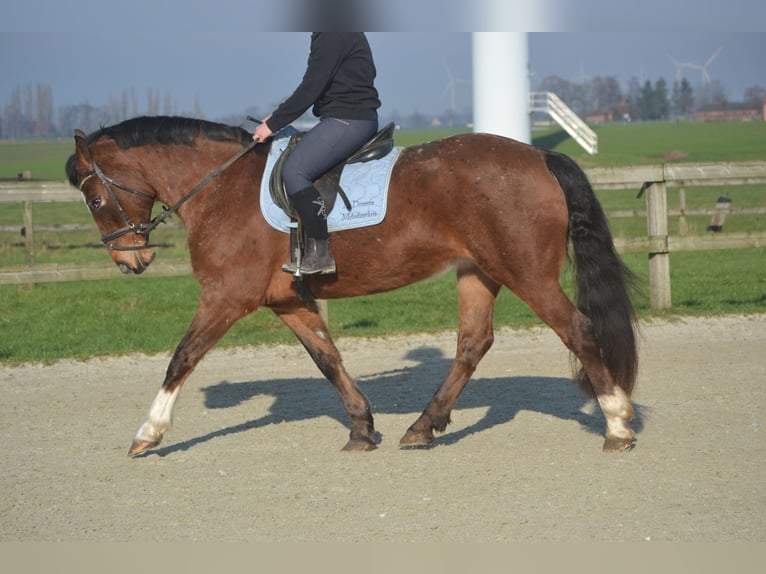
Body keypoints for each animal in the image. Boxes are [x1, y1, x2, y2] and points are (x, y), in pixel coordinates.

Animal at [66, 116, 640, 460]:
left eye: (94, 199)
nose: (131, 261)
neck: (223, 188)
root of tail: (540, 157)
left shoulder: (227, 297)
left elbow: (182, 357)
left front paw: (148, 433)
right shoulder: (287, 301)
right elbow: (328, 359)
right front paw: (362, 429)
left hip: (526, 274)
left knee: (578, 330)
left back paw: (617, 425)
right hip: (479, 272)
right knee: (472, 344)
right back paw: (422, 427)